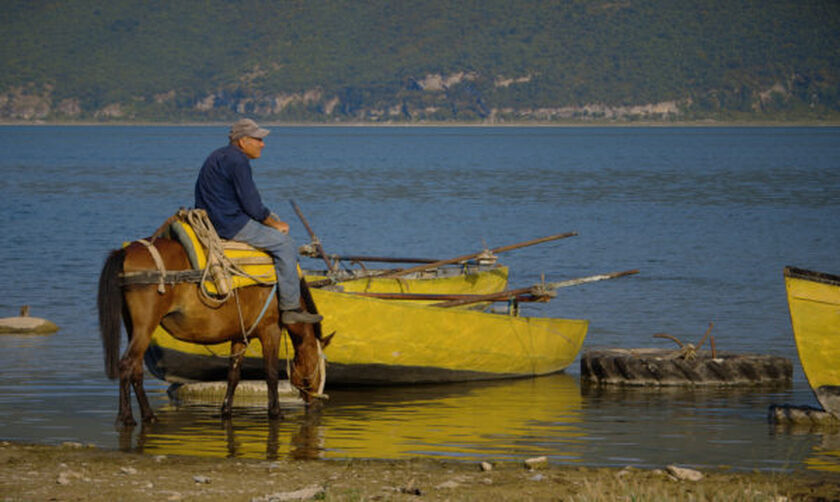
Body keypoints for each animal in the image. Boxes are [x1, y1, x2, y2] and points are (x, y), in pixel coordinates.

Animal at [98, 237, 332, 426]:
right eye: (319, 366)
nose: (316, 403)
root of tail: (126, 251)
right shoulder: (270, 331)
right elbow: (272, 373)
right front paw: (275, 412)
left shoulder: (240, 336)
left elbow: (233, 375)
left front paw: (226, 410)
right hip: (145, 326)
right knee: (126, 364)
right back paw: (128, 417)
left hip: (133, 327)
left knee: (135, 368)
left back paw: (146, 415)